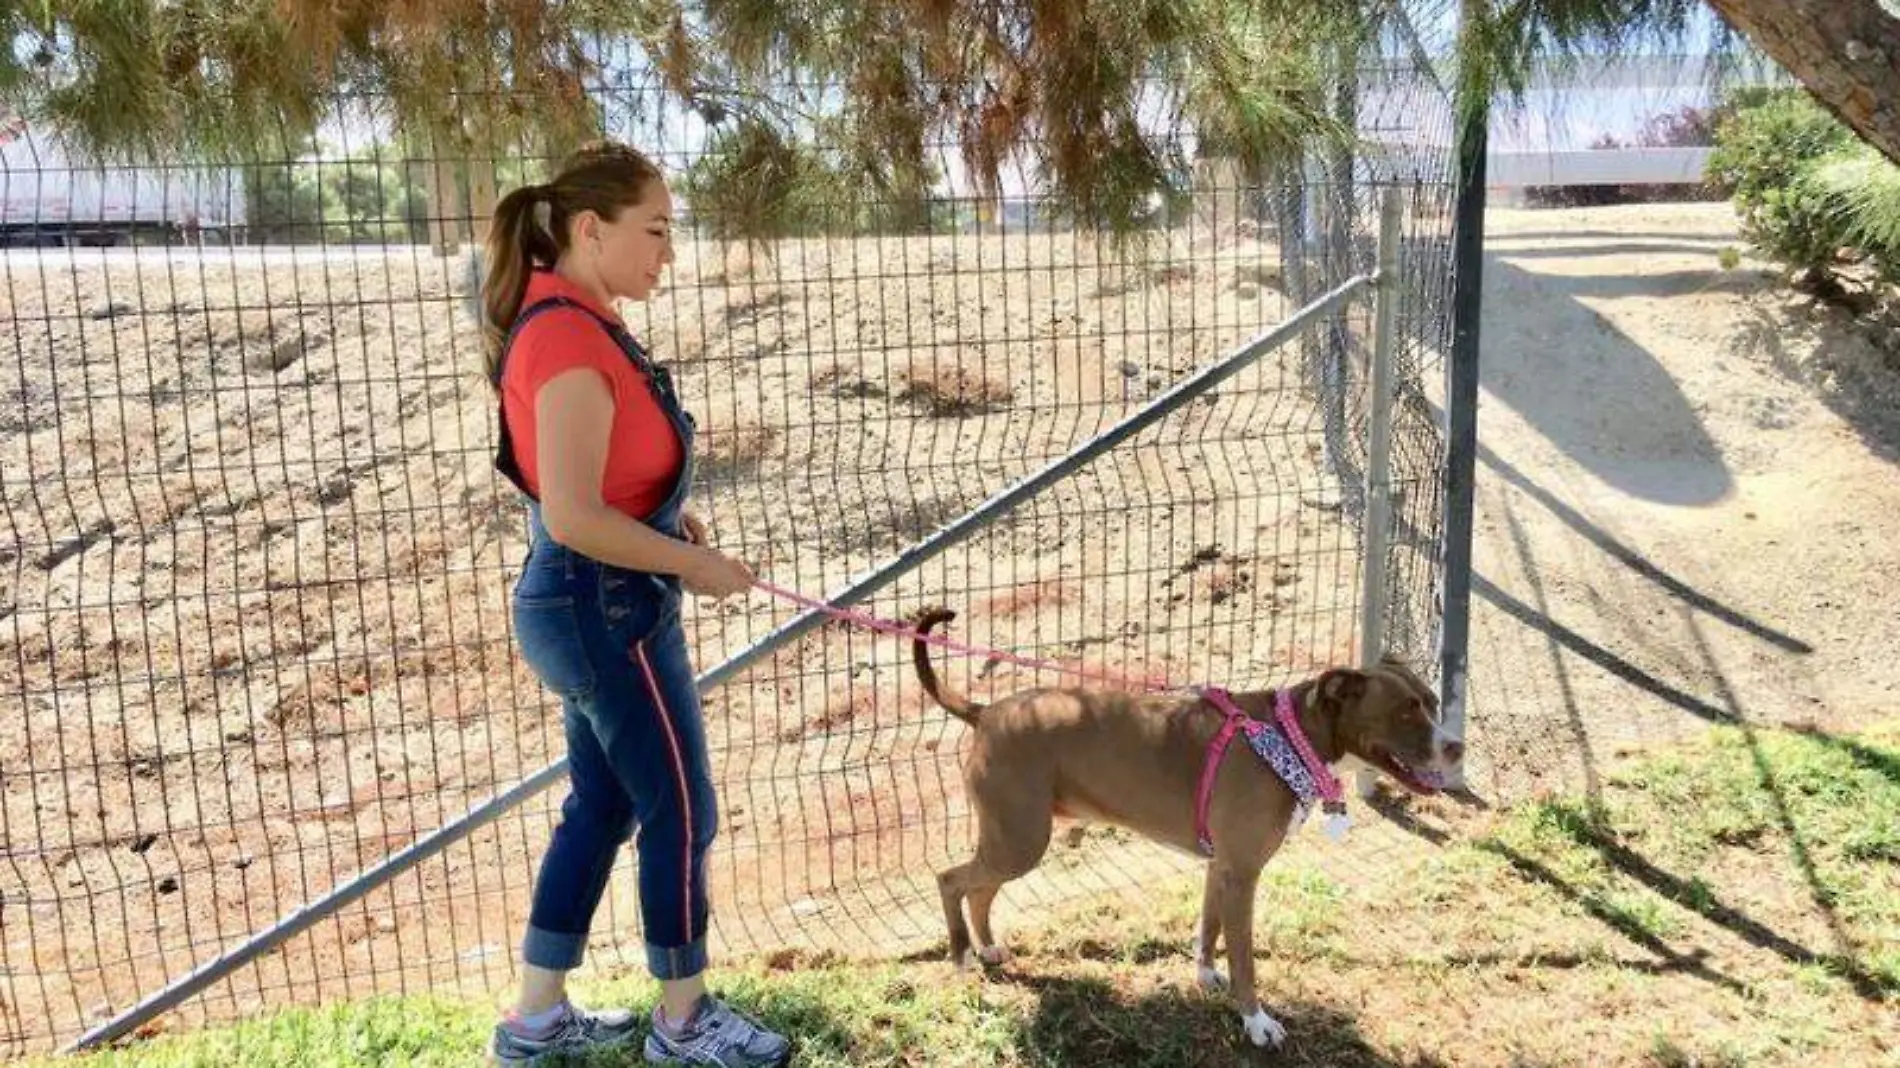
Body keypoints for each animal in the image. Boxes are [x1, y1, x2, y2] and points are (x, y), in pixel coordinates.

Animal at [912, 604, 1459, 1041]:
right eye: (1406, 712)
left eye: (1432, 702)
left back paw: (987, 948)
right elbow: (1245, 957)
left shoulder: (1223, 868)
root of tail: (986, 711)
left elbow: (1208, 928)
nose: (1456, 746)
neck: (1290, 734)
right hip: (1020, 840)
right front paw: (1256, 1021)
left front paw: (1206, 977)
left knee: (981, 890)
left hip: (1013, 840)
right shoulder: (1243, 874)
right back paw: (962, 956)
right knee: (951, 879)